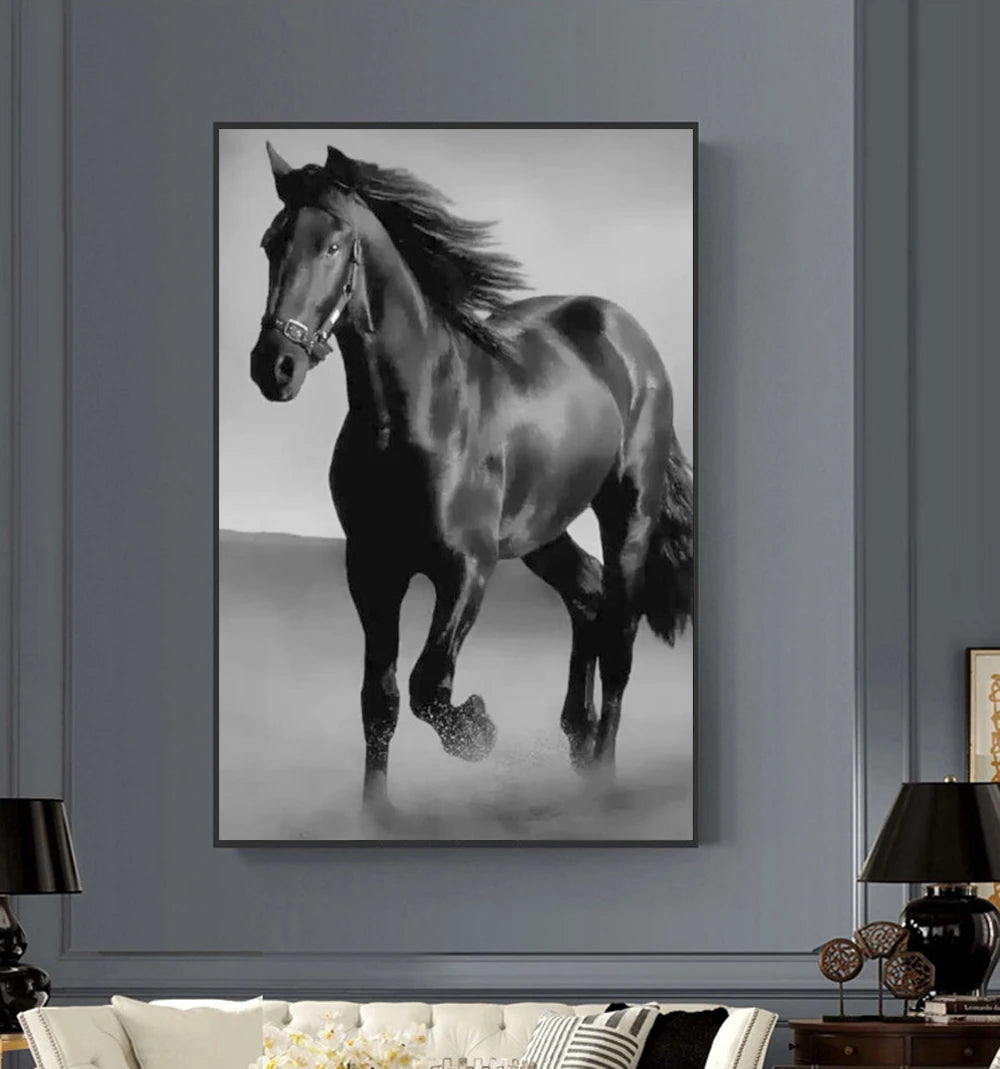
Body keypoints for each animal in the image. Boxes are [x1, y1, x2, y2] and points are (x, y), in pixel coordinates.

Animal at [248, 142, 694, 815]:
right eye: (272, 242)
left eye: (332, 245)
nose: (274, 367)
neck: (416, 415)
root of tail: (629, 336)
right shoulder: (371, 569)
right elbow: (380, 700)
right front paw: (376, 815)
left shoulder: (467, 567)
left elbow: (429, 682)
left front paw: (478, 730)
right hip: (541, 531)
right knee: (587, 595)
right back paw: (578, 737)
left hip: (628, 512)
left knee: (619, 634)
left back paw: (603, 775)